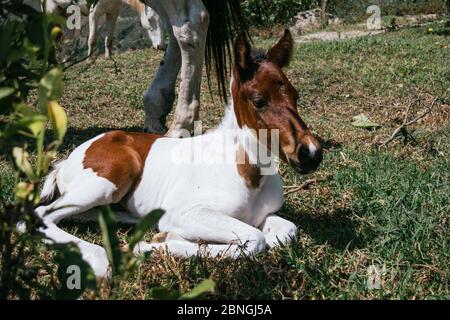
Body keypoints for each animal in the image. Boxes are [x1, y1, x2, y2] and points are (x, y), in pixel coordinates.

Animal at [35, 30, 324, 280]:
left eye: (295, 95)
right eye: (258, 100)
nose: (311, 153)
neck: (247, 174)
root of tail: (67, 161)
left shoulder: (264, 216)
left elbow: (286, 231)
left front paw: (159, 240)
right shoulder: (186, 213)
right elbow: (255, 239)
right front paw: (156, 243)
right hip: (108, 181)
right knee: (42, 215)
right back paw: (97, 258)